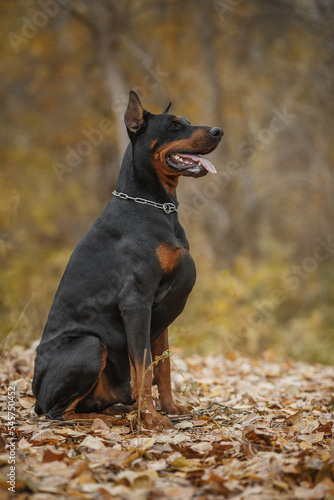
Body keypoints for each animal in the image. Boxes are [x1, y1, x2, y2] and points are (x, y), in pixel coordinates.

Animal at [32, 92, 223, 428]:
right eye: (174, 126)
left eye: (186, 122)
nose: (218, 132)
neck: (157, 206)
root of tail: (35, 398)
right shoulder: (136, 301)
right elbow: (143, 368)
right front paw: (152, 419)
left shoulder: (160, 310)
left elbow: (163, 367)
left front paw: (170, 408)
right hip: (90, 345)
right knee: (58, 414)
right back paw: (105, 419)